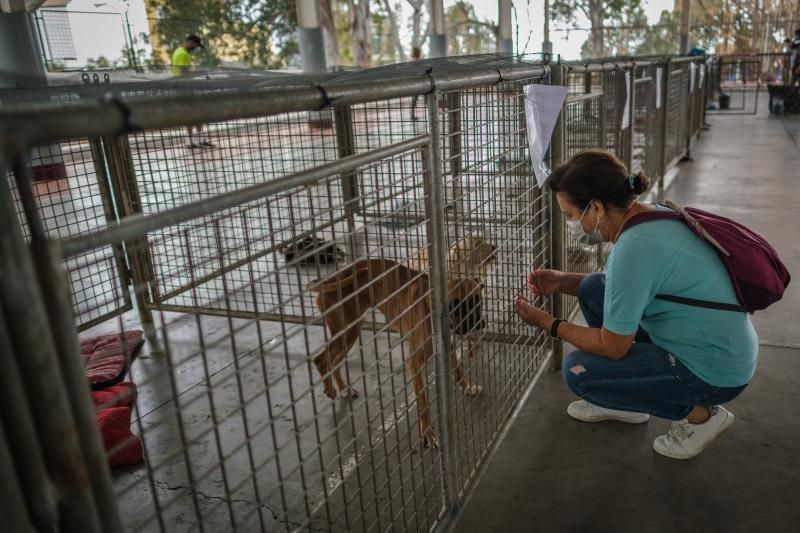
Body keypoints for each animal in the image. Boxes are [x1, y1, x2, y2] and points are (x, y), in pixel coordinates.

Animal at [310, 256, 484, 444]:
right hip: (347, 332)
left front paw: (467, 387)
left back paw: (343, 388)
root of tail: (331, 278)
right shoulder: (414, 363)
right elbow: (423, 402)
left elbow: (458, 372)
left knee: (333, 361)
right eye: (454, 305)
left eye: (478, 301)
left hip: (350, 332)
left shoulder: (448, 346)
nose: (476, 321)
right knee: (321, 360)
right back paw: (331, 389)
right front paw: (427, 432)